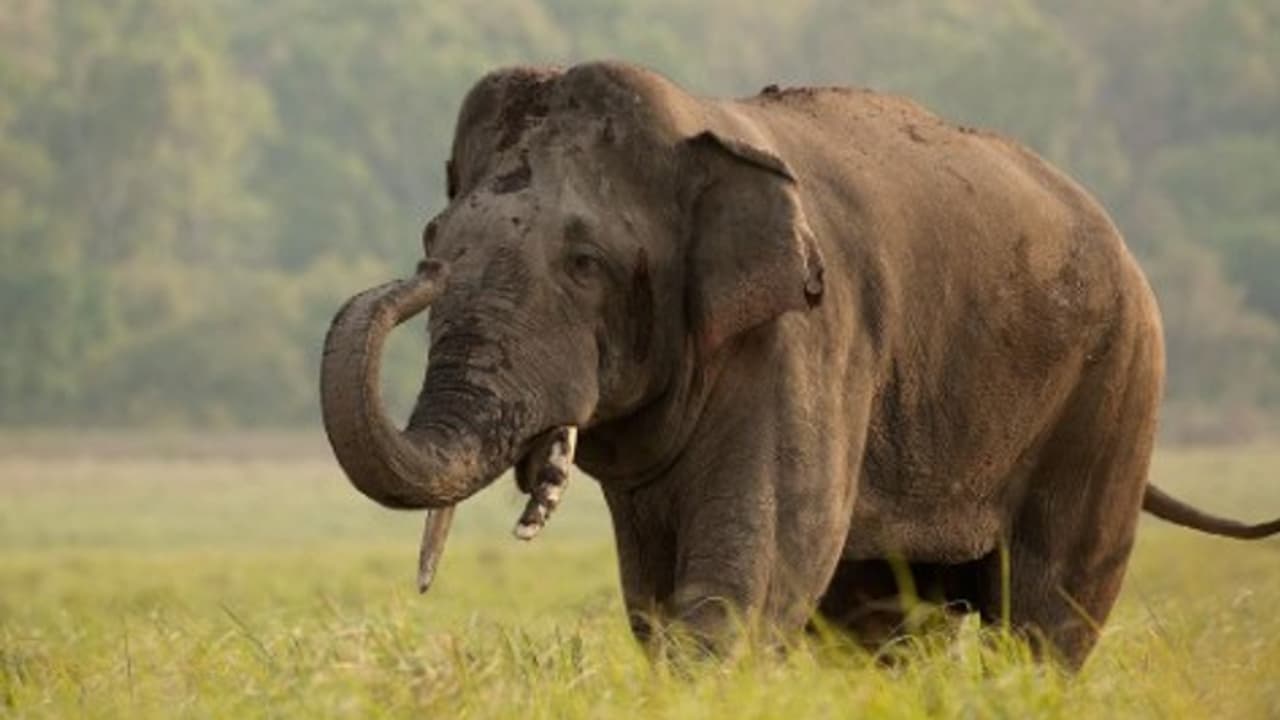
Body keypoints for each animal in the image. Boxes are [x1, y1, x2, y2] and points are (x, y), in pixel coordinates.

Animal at [320, 61, 1280, 669]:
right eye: (436, 238)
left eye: (586, 263)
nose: (418, 277)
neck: (697, 128)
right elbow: (656, 592)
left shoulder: (809, 334)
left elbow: (759, 565)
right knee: (888, 620)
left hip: (1115, 384)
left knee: (1048, 612)